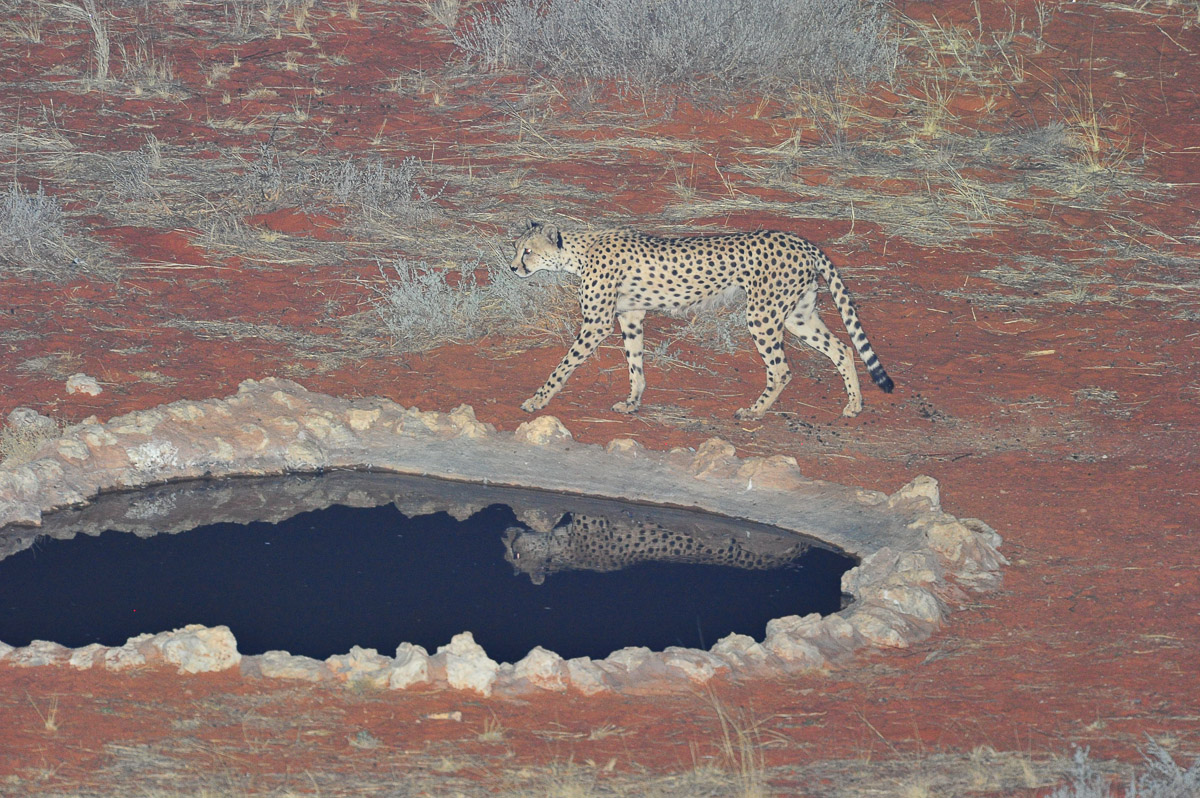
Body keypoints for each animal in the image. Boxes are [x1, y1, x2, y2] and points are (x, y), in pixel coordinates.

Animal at [510, 221, 895, 419]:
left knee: (782, 369)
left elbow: (563, 366)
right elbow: (635, 364)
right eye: (516, 248)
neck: (579, 252)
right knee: (843, 349)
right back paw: (854, 405)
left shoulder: (597, 323)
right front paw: (633, 402)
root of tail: (800, 240)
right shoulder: (630, 316)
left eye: (527, 251)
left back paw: (754, 411)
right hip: (797, 315)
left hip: (762, 315)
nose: (513, 268)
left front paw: (537, 400)